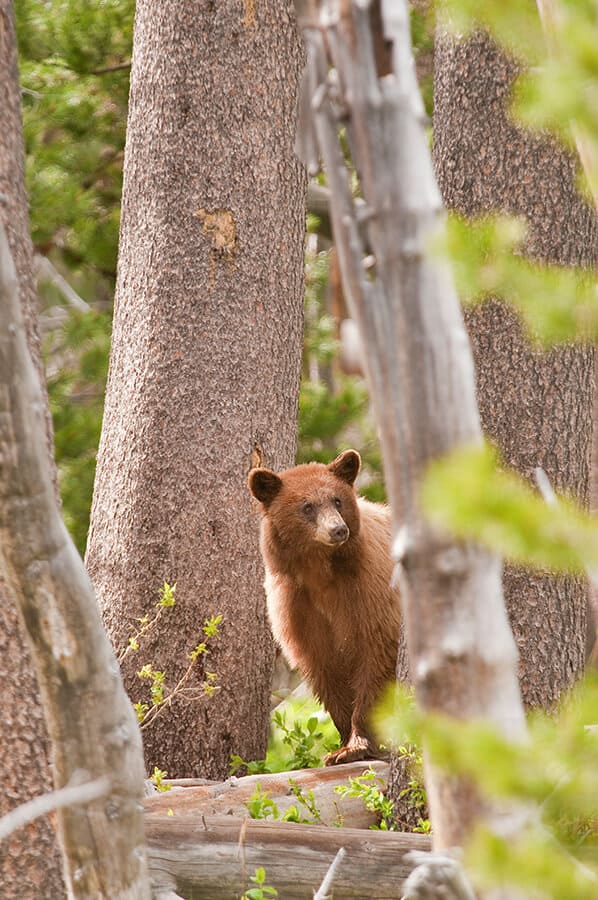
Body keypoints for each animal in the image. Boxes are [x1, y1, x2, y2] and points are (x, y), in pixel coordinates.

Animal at [248, 446, 404, 764]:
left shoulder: (370, 593)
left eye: (337, 500)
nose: (338, 530)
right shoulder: (297, 607)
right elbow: (325, 670)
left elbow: (375, 657)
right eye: (307, 507)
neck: (321, 574)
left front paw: (356, 746)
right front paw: (342, 743)